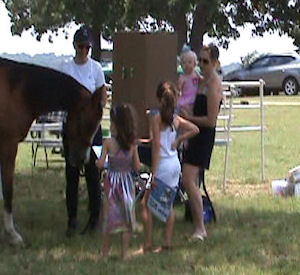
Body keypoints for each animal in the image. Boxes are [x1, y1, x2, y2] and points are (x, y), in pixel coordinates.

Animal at [0, 58, 103, 246]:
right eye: (85, 122)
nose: (82, 160)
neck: (17, 90)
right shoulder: (8, 146)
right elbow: (8, 190)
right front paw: (13, 235)